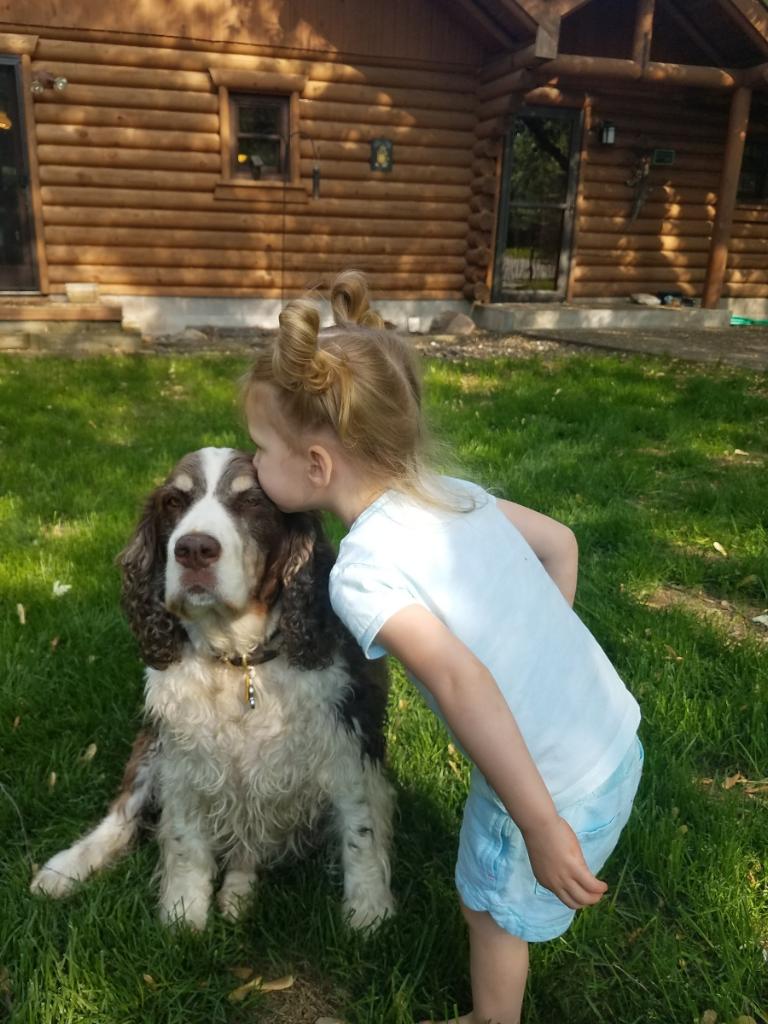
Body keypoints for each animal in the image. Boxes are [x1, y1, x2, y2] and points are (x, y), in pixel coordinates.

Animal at [30, 446, 393, 929]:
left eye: (253, 501)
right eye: (173, 502)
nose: (194, 549)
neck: (238, 663)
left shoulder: (346, 739)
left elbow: (360, 829)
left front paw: (369, 911)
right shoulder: (184, 755)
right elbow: (184, 839)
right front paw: (184, 914)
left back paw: (238, 891)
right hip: (150, 746)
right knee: (122, 818)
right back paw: (65, 868)